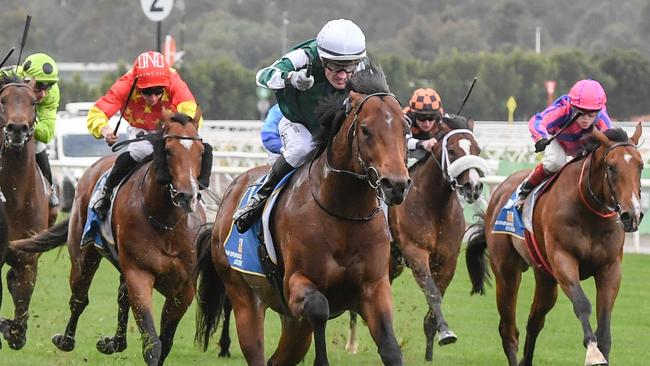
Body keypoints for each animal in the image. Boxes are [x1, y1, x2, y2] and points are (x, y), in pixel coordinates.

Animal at [11, 110, 208, 364]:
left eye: (201, 152)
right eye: (168, 150)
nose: (186, 196)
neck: (166, 223)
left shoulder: (184, 289)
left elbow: (165, 341)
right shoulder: (139, 273)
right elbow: (152, 342)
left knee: (121, 297)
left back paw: (114, 342)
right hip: (84, 255)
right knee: (79, 298)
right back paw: (66, 340)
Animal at [192, 66, 410, 366]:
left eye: (405, 128)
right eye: (366, 129)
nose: (396, 185)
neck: (345, 214)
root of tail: (229, 195)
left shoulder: (374, 287)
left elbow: (390, 347)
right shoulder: (296, 284)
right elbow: (319, 308)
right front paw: (297, 78)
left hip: (290, 322)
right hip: (243, 295)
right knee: (257, 349)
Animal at [384, 115, 486, 360]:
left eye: (476, 149)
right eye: (452, 150)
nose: (474, 187)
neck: (435, 206)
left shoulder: (448, 260)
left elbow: (435, 301)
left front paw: (432, 351)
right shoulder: (416, 253)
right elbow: (432, 293)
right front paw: (447, 332)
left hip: (394, 263)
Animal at [464, 124, 640, 364]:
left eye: (641, 166)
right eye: (611, 167)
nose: (632, 215)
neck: (589, 212)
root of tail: (499, 191)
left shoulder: (610, 268)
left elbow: (604, 328)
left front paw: (600, 350)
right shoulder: (562, 258)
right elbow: (582, 303)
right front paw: (592, 352)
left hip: (545, 278)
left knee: (534, 321)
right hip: (507, 271)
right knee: (508, 329)